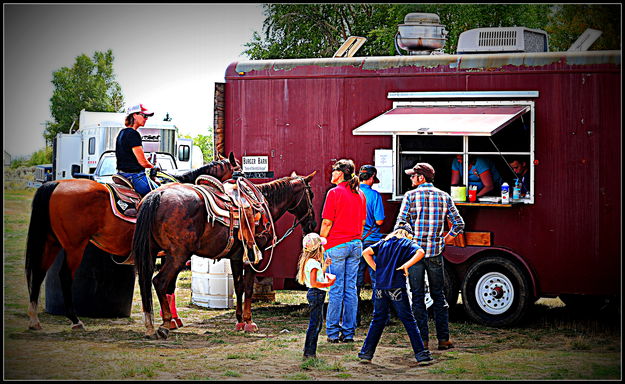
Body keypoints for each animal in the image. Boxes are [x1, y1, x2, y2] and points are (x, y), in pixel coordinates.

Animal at [24, 152, 239, 330]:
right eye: (237, 173)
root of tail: (56, 185)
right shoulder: (172, 253)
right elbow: (167, 284)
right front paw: (170, 321)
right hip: (74, 246)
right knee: (65, 276)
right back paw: (75, 320)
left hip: (52, 242)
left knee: (40, 271)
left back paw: (34, 319)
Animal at [132, 172, 316, 338]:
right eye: (311, 195)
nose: (312, 224)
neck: (265, 203)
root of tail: (157, 194)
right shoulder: (253, 257)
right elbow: (248, 287)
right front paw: (249, 322)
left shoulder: (236, 257)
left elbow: (239, 286)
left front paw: (240, 321)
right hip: (177, 255)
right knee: (160, 282)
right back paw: (164, 325)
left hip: (152, 253)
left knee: (148, 282)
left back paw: (152, 326)